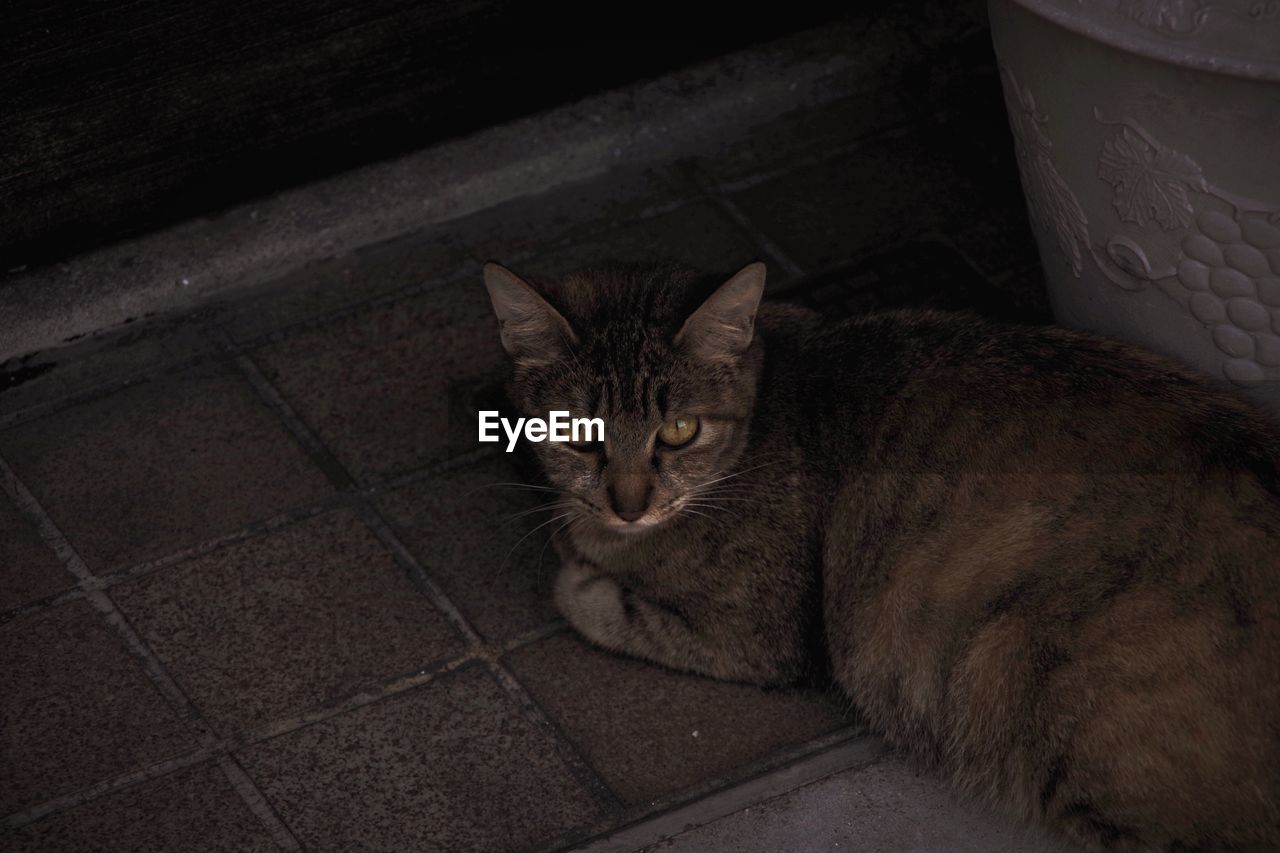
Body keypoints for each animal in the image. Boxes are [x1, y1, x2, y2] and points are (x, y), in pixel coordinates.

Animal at [481, 258, 1280, 850]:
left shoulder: (760, 636)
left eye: (677, 430)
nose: (628, 503)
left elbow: (596, 601)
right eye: (577, 430)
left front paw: (579, 567)